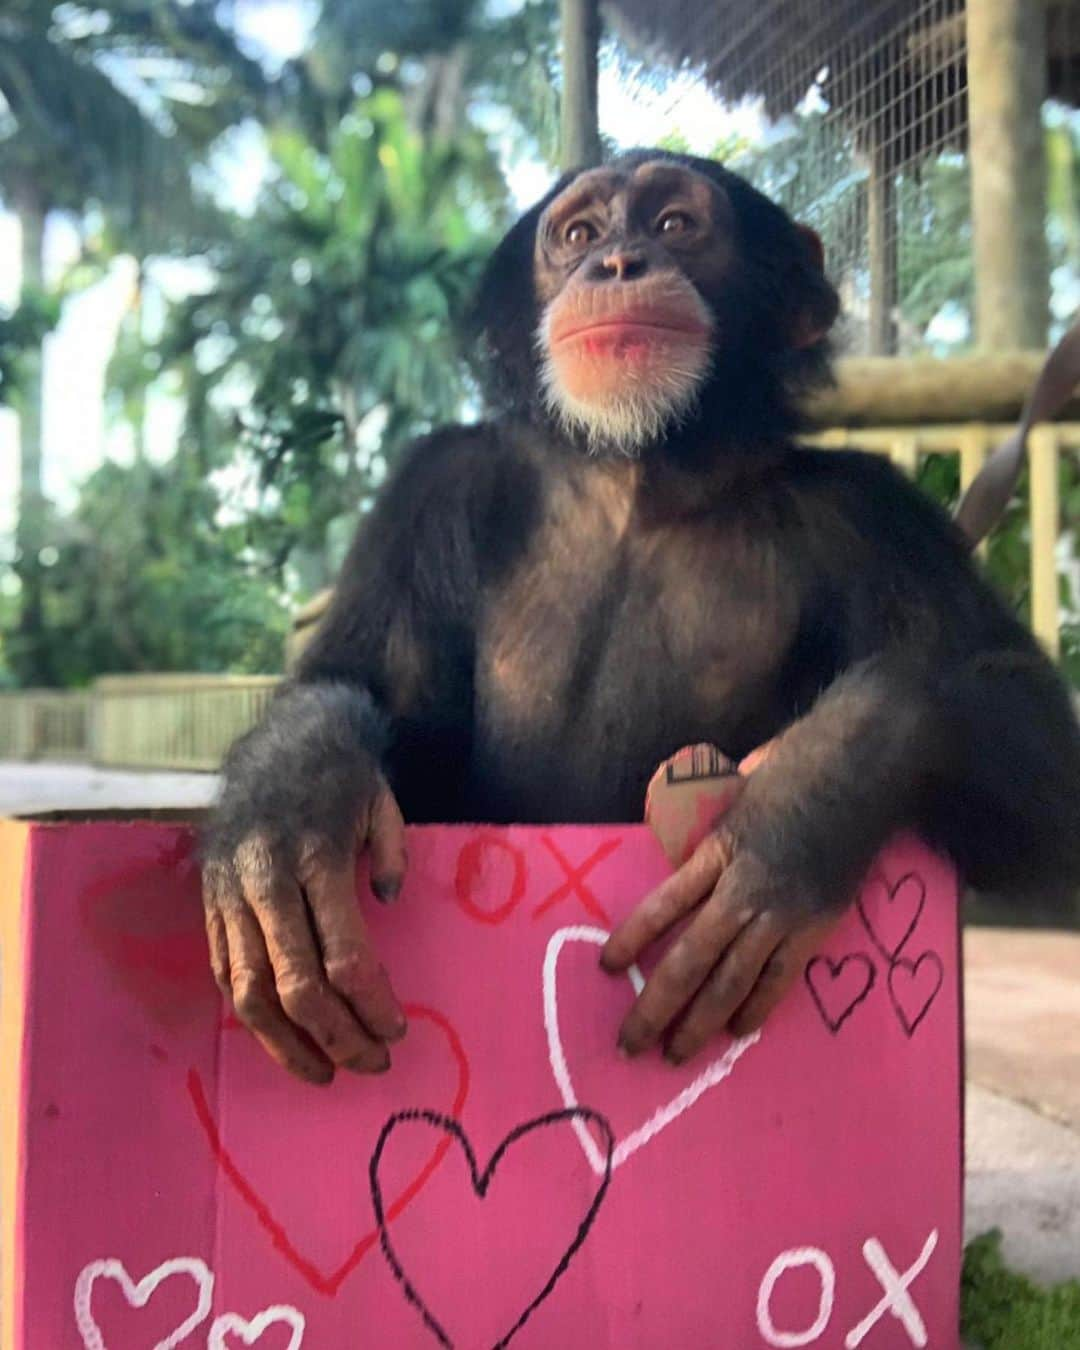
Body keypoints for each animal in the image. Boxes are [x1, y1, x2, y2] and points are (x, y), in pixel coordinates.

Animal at [199, 150, 1080, 1085]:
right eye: (578, 232)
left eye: (674, 224)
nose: (616, 262)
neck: (641, 470)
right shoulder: (433, 492)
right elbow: (365, 691)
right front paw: (289, 806)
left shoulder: (875, 514)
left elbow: (1023, 726)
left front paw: (801, 805)